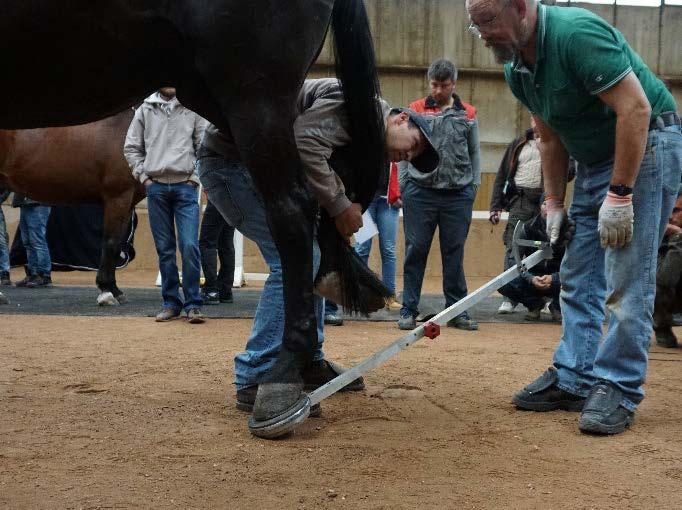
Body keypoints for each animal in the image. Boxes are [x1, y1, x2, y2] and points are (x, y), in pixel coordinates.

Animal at [0, 110, 143, 304]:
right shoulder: (117, 197)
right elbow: (110, 243)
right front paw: (106, 291)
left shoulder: (127, 203)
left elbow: (117, 244)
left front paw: (114, 289)